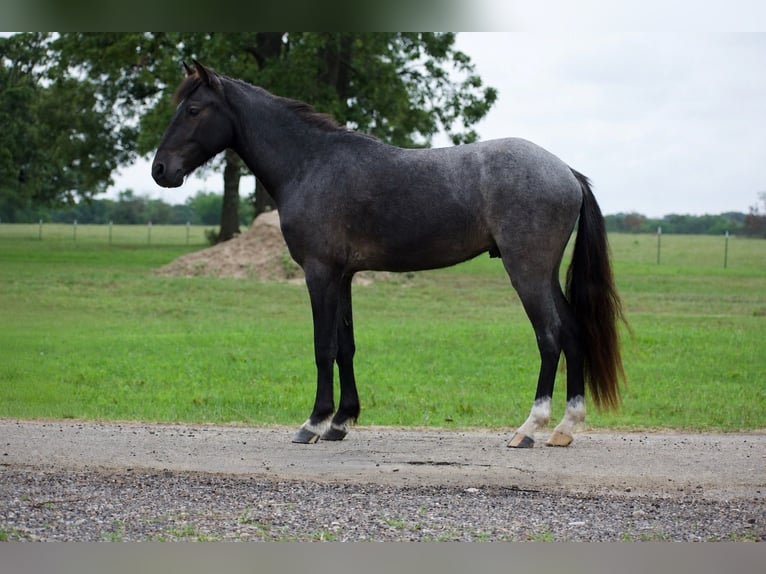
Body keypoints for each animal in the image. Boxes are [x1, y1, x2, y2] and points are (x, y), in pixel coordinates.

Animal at [152, 61, 626, 448]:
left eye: (193, 110)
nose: (159, 170)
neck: (311, 163)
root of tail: (567, 172)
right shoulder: (343, 276)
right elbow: (345, 346)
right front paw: (341, 422)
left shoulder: (320, 273)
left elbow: (322, 346)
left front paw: (314, 422)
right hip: (544, 274)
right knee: (573, 332)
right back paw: (565, 427)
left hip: (526, 271)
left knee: (549, 336)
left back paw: (530, 428)